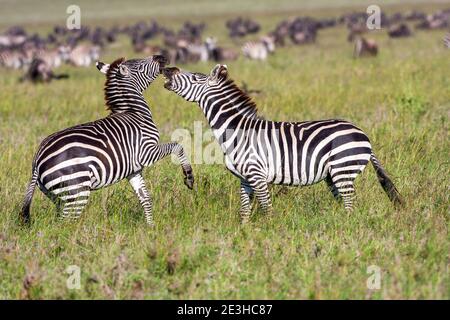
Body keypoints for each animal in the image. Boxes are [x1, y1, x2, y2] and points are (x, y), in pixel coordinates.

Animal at [21, 54, 193, 225]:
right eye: (139, 64)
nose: (162, 56)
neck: (134, 112)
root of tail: (37, 159)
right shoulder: (146, 152)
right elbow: (178, 146)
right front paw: (189, 177)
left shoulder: (134, 169)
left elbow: (145, 198)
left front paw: (150, 226)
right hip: (76, 189)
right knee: (65, 224)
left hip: (58, 197)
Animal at [163, 63, 404, 221]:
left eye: (195, 77)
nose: (167, 69)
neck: (236, 130)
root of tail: (363, 134)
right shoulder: (245, 178)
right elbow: (244, 211)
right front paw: (244, 234)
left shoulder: (257, 174)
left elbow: (267, 208)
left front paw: (269, 235)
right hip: (333, 176)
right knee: (345, 203)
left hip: (343, 169)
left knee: (350, 202)